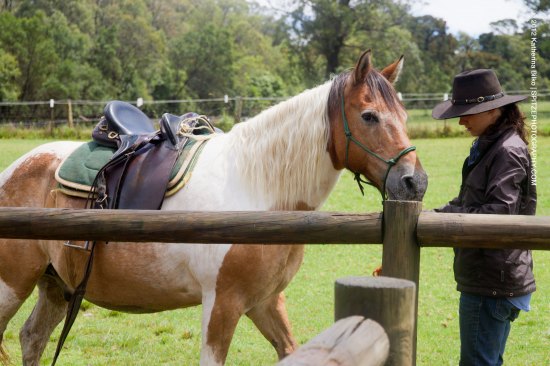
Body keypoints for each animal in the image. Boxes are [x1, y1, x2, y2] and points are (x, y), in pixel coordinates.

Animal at [0, 50, 430, 364]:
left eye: (405, 115)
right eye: (369, 115)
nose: (415, 181)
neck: (255, 189)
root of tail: (17, 168)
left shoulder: (266, 303)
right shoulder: (221, 305)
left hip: (56, 286)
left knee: (32, 338)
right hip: (13, 285)